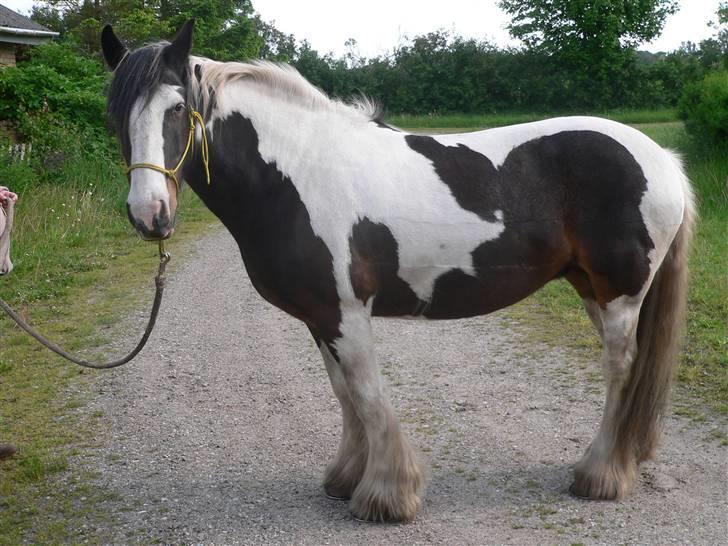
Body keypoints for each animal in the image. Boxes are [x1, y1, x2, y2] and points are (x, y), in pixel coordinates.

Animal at [101, 22, 692, 524]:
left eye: (178, 108)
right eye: (115, 114)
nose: (149, 214)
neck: (298, 176)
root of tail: (661, 158)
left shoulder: (346, 312)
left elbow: (366, 393)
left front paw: (387, 494)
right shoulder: (320, 317)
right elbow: (343, 392)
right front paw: (346, 477)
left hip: (619, 294)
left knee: (620, 370)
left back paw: (600, 475)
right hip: (591, 289)